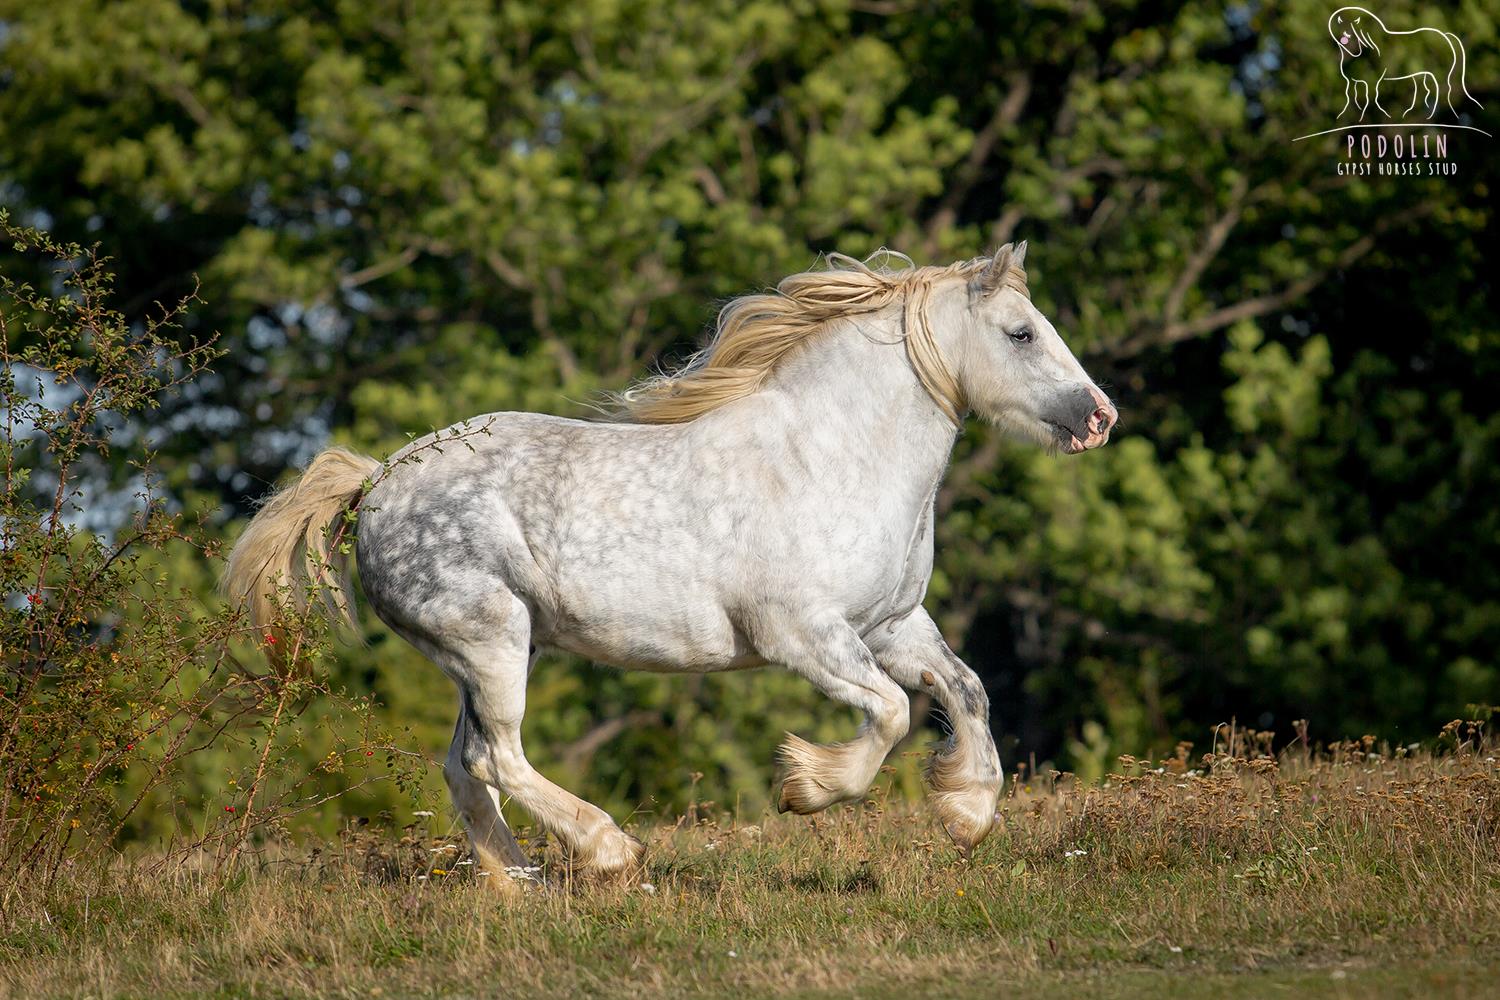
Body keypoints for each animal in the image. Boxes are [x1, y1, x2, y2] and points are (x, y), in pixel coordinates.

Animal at [222, 242, 1116, 881]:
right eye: (1021, 333)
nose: (1100, 417)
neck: (832, 456)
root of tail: (373, 481)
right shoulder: (804, 636)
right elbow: (894, 713)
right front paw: (806, 786)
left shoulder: (891, 624)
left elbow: (967, 689)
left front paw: (966, 812)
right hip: (489, 640)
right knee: (494, 756)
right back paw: (610, 852)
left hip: (495, 650)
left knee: (465, 768)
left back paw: (520, 884)